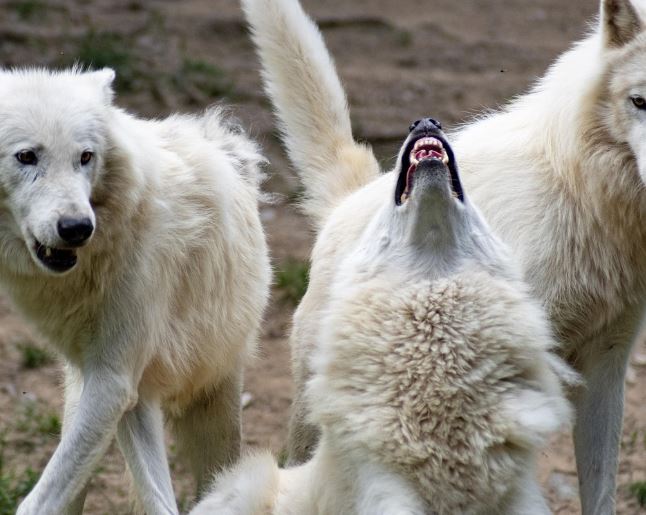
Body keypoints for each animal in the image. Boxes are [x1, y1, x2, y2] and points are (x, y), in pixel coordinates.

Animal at [3, 68, 271, 514]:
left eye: (85, 157)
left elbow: (37, 503)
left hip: (209, 396)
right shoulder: (114, 383)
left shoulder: (114, 379)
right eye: (26, 156)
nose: (76, 227)